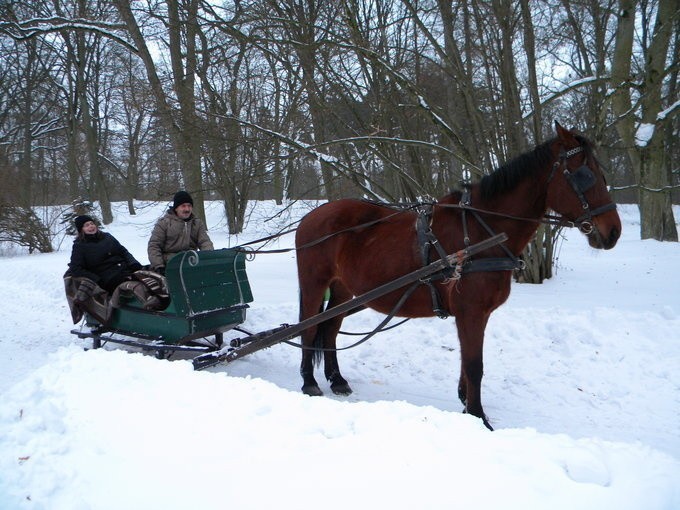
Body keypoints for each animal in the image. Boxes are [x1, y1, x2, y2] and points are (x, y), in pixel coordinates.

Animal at [294, 121, 620, 428]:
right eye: (585, 175)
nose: (613, 231)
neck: (481, 231)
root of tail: (311, 216)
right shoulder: (470, 311)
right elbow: (475, 365)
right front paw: (478, 417)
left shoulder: (477, 314)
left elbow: (466, 362)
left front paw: (465, 403)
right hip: (314, 284)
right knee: (309, 327)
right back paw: (309, 382)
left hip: (343, 289)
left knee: (330, 328)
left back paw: (337, 379)